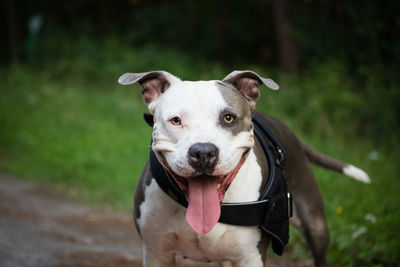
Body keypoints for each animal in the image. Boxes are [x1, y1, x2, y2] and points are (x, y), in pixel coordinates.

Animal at [118, 71, 368, 267]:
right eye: (176, 120)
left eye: (229, 118)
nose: (203, 152)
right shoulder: (157, 253)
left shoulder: (250, 257)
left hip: (315, 224)